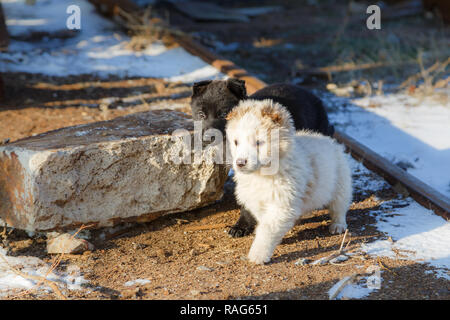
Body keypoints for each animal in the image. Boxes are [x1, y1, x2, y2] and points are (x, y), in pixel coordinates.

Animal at [225, 99, 352, 264]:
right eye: (236, 142)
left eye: (259, 142)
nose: (240, 163)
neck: (261, 175)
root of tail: (332, 142)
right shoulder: (258, 202)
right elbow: (264, 223)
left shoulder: (281, 204)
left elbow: (267, 229)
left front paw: (257, 255)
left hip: (341, 185)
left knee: (339, 208)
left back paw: (337, 226)